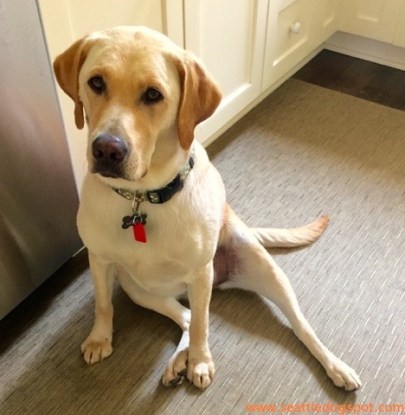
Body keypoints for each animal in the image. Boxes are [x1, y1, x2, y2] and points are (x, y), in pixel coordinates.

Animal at [52, 26, 360, 394]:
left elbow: (202, 325)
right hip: (137, 288)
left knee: (297, 325)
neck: (142, 198)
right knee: (186, 317)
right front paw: (100, 339)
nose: (107, 150)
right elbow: (103, 304)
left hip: (264, 272)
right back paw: (175, 363)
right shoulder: (99, 260)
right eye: (96, 83)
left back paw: (336, 366)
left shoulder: (201, 274)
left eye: (153, 94)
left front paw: (200, 361)